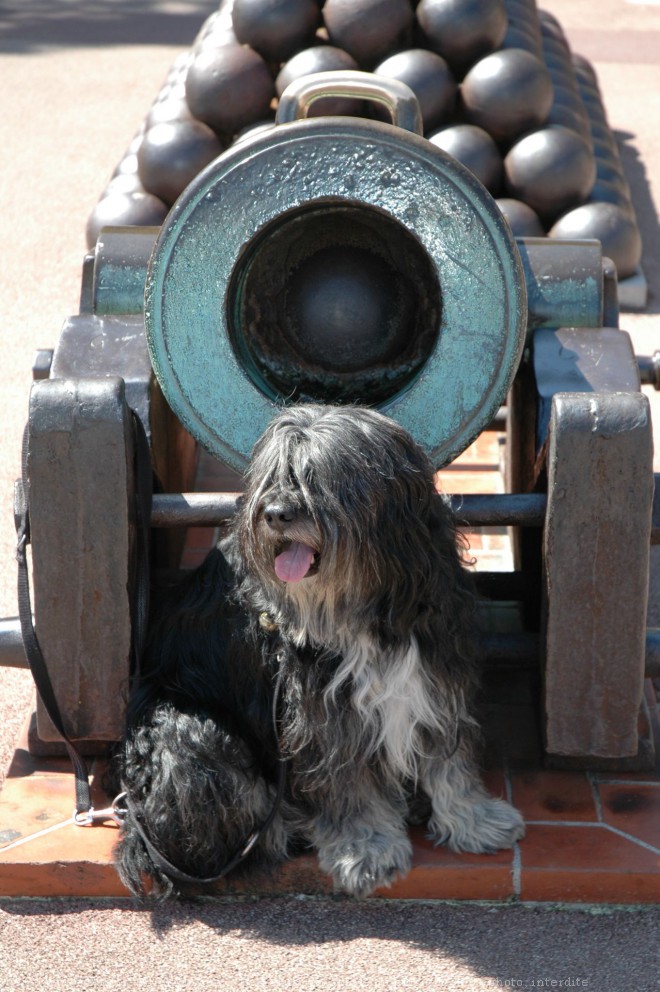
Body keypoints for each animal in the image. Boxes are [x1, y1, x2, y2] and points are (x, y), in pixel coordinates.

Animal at [114, 404, 524, 900]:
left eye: (317, 477)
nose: (274, 514)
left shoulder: (434, 674)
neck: (369, 607)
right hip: (190, 730)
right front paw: (366, 849)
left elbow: (450, 760)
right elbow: (347, 786)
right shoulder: (323, 712)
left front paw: (475, 819)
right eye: (274, 475)